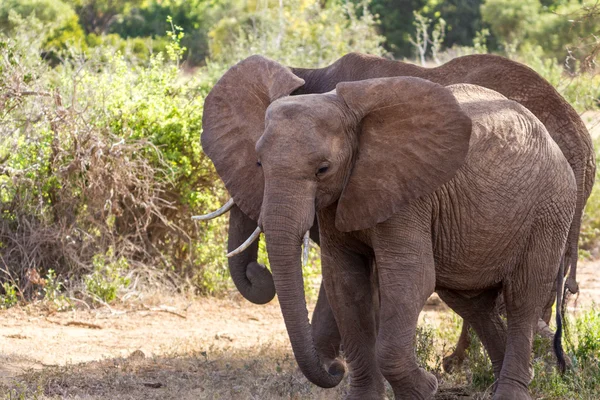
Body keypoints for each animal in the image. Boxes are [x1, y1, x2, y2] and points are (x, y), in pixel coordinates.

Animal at [202, 54, 576, 398]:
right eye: (259, 163)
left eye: (323, 169)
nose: (333, 369)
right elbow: (345, 282)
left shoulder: (408, 193)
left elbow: (410, 277)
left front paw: (425, 389)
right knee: (470, 301)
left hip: (550, 208)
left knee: (522, 298)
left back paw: (510, 389)